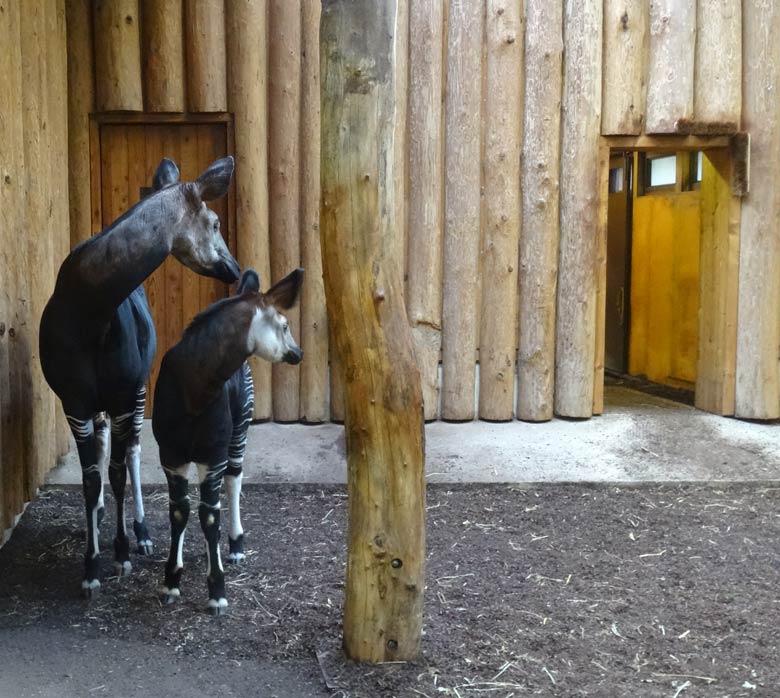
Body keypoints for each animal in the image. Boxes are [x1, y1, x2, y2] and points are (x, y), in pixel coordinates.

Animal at [39, 155, 239, 596]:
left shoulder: (122, 395)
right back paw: (96, 520)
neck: (88, 309)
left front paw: (121, 552)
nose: (234, 269)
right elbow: (91, 478)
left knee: (130, 452)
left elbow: (116, 471)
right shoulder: (75, 402)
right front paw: (91, 565)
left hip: (136, 393)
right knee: (104, 453)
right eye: (216, 222)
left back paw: (142, 533)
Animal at [152, 264, 302, 612]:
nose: (298, 353)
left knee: (234, 478)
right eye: (285, 325)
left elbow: (209, 516)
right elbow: (179, 511)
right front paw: (171, 581)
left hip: (239, 430)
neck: (194, 387)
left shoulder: (213, 454)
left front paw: (217, 591)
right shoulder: (172, 456)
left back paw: (234, 546)